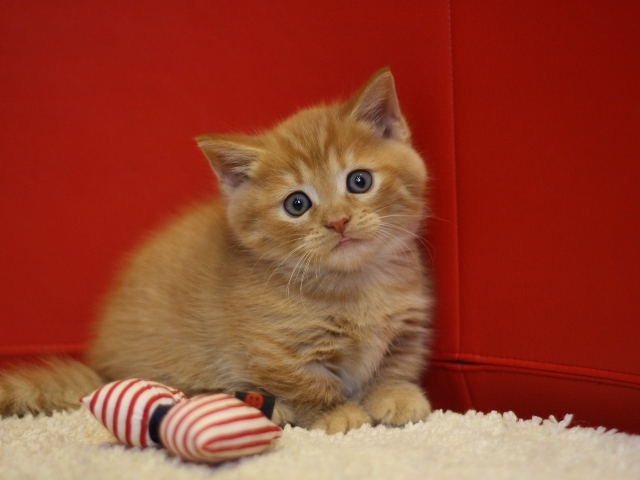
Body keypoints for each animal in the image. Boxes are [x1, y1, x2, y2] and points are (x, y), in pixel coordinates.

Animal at [0, 68, 432, 436]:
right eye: (297, 204)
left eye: (359, 181)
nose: (338, 222)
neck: (357, 285)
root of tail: (101, 368)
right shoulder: (276, 349)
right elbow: (306, 383)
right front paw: (337, 413)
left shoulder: (407, 325)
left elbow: (396, 365)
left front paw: (395, 394)